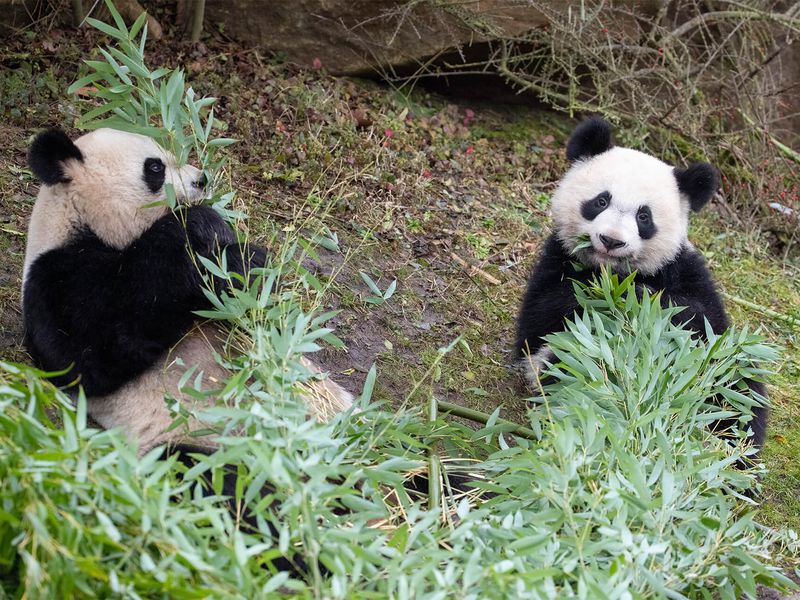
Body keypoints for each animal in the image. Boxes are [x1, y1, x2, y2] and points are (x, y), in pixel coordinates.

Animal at [21, 127, 354, 454]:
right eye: (155, 167)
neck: (81, 222)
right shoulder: (55, 279)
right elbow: (89, 353)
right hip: (196, 443)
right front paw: (210, 231)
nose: (201, 180)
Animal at [512, 116, 768, 446]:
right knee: (576, 371)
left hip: (721, 377)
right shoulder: (557, 258)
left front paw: (640, 298)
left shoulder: (683, 267)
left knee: (739, 393)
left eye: (644, 217)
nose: (611, 240)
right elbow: (539, 319)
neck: (612, 271)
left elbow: (702, 319)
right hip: (574, 367)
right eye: (601, 201)